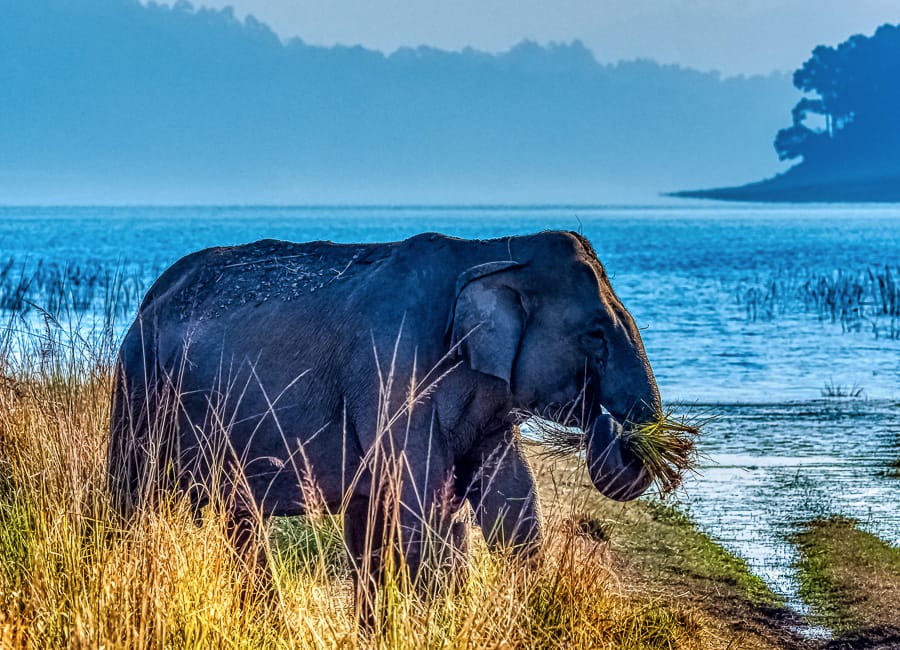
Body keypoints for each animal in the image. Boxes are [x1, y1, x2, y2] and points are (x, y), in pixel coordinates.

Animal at [108, 230, 660, 619]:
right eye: (595, 336)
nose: (611, 426)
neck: (496, 251)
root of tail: (150, 297)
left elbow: (512, 505)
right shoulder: (392, 370)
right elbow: (419, 509)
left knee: (239, 517)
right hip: (140, 387)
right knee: (131, 498)